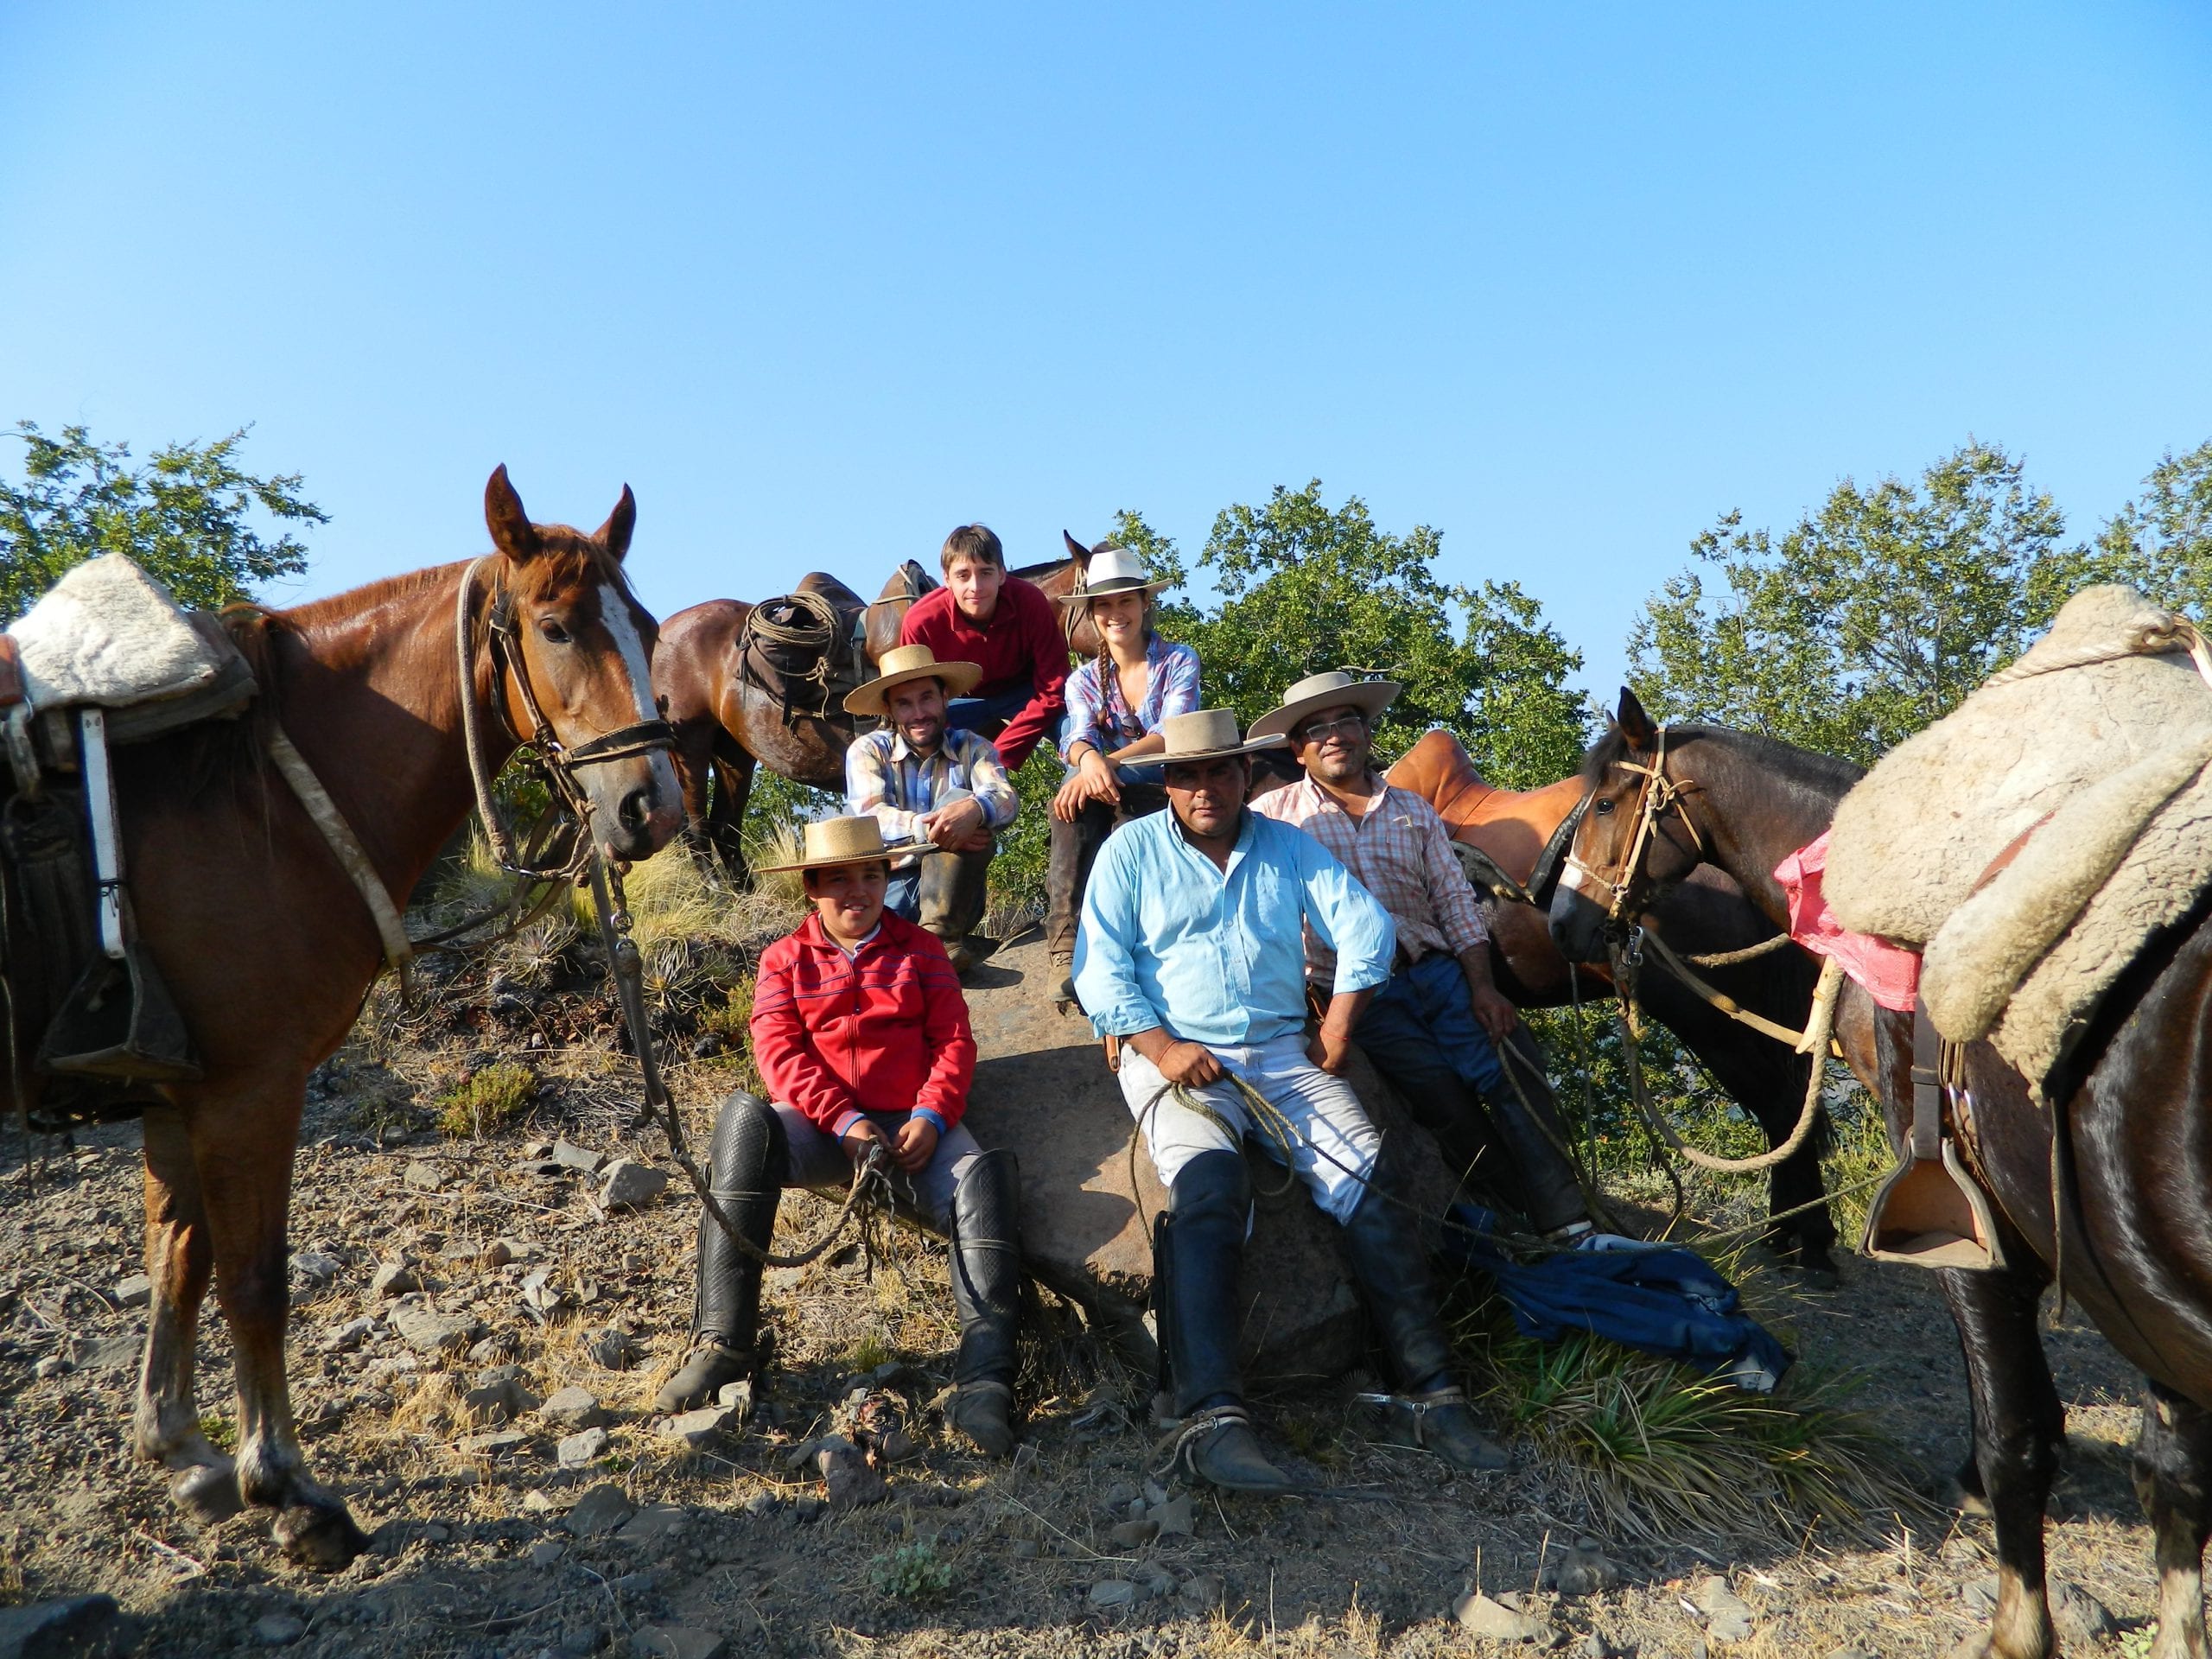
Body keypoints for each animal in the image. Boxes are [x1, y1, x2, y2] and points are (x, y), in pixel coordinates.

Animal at [9, 471, 685, 1574]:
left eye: (650, 627)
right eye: (555, 628)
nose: (650, 805)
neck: (259, 799)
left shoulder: (174, 1089)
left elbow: (175, 1260)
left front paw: (181, 1448)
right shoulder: (247, 1087)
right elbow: (252, 1280)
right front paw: (285, 1490)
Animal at [1548, 685, 2212, 1659]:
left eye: (1602, 802)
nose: (1557, 921)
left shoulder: (1969, 1227)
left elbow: (2021, 1431)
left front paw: (2015, 1615)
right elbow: (2167, 1475)